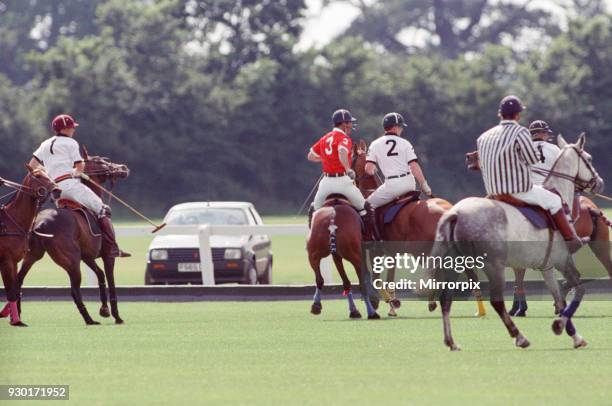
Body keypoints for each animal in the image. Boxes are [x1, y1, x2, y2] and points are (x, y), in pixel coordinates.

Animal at [0, 167, 59, 328]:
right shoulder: (6, 261)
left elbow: (15, 287)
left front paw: (13, 318)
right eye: (37, 175)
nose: (57, 190)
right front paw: (15, 320)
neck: (11, 222)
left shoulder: (14, 261)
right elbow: (10, 290)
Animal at [16, 151, 129, 326]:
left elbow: (100, 275)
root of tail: (40, 223)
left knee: (19, 280)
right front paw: (117, 316)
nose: (123, 168)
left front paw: (104, 310)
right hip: (71, 260)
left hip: (33, 255)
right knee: (74, 289)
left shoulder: (87, 256)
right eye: (101, 161)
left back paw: (18, 317)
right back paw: (89, 319)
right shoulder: (108, 255)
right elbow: (111, 281)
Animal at [352, 140, 486, 318]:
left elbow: (376, 278)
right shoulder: (391, 252)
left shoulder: (376, 250)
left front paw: (389, 302)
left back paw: (435, 302)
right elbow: (389, 278)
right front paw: (392, 306)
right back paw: (477, 309)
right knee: (464, 272)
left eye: (350, 159)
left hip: (422, 249)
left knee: (440, 271)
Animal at [432, 133, 604, 348]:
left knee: (446, 299)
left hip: (456, 264)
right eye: (589, 158)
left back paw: (451, 342)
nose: (600, 182)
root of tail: (455, 213)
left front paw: (574, 336)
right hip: (493, 264)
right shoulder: (563, 260)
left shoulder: (547, 266)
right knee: (496, 301)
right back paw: (520, 337)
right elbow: (579, 290)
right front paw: (559, 325)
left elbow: (560, 299)